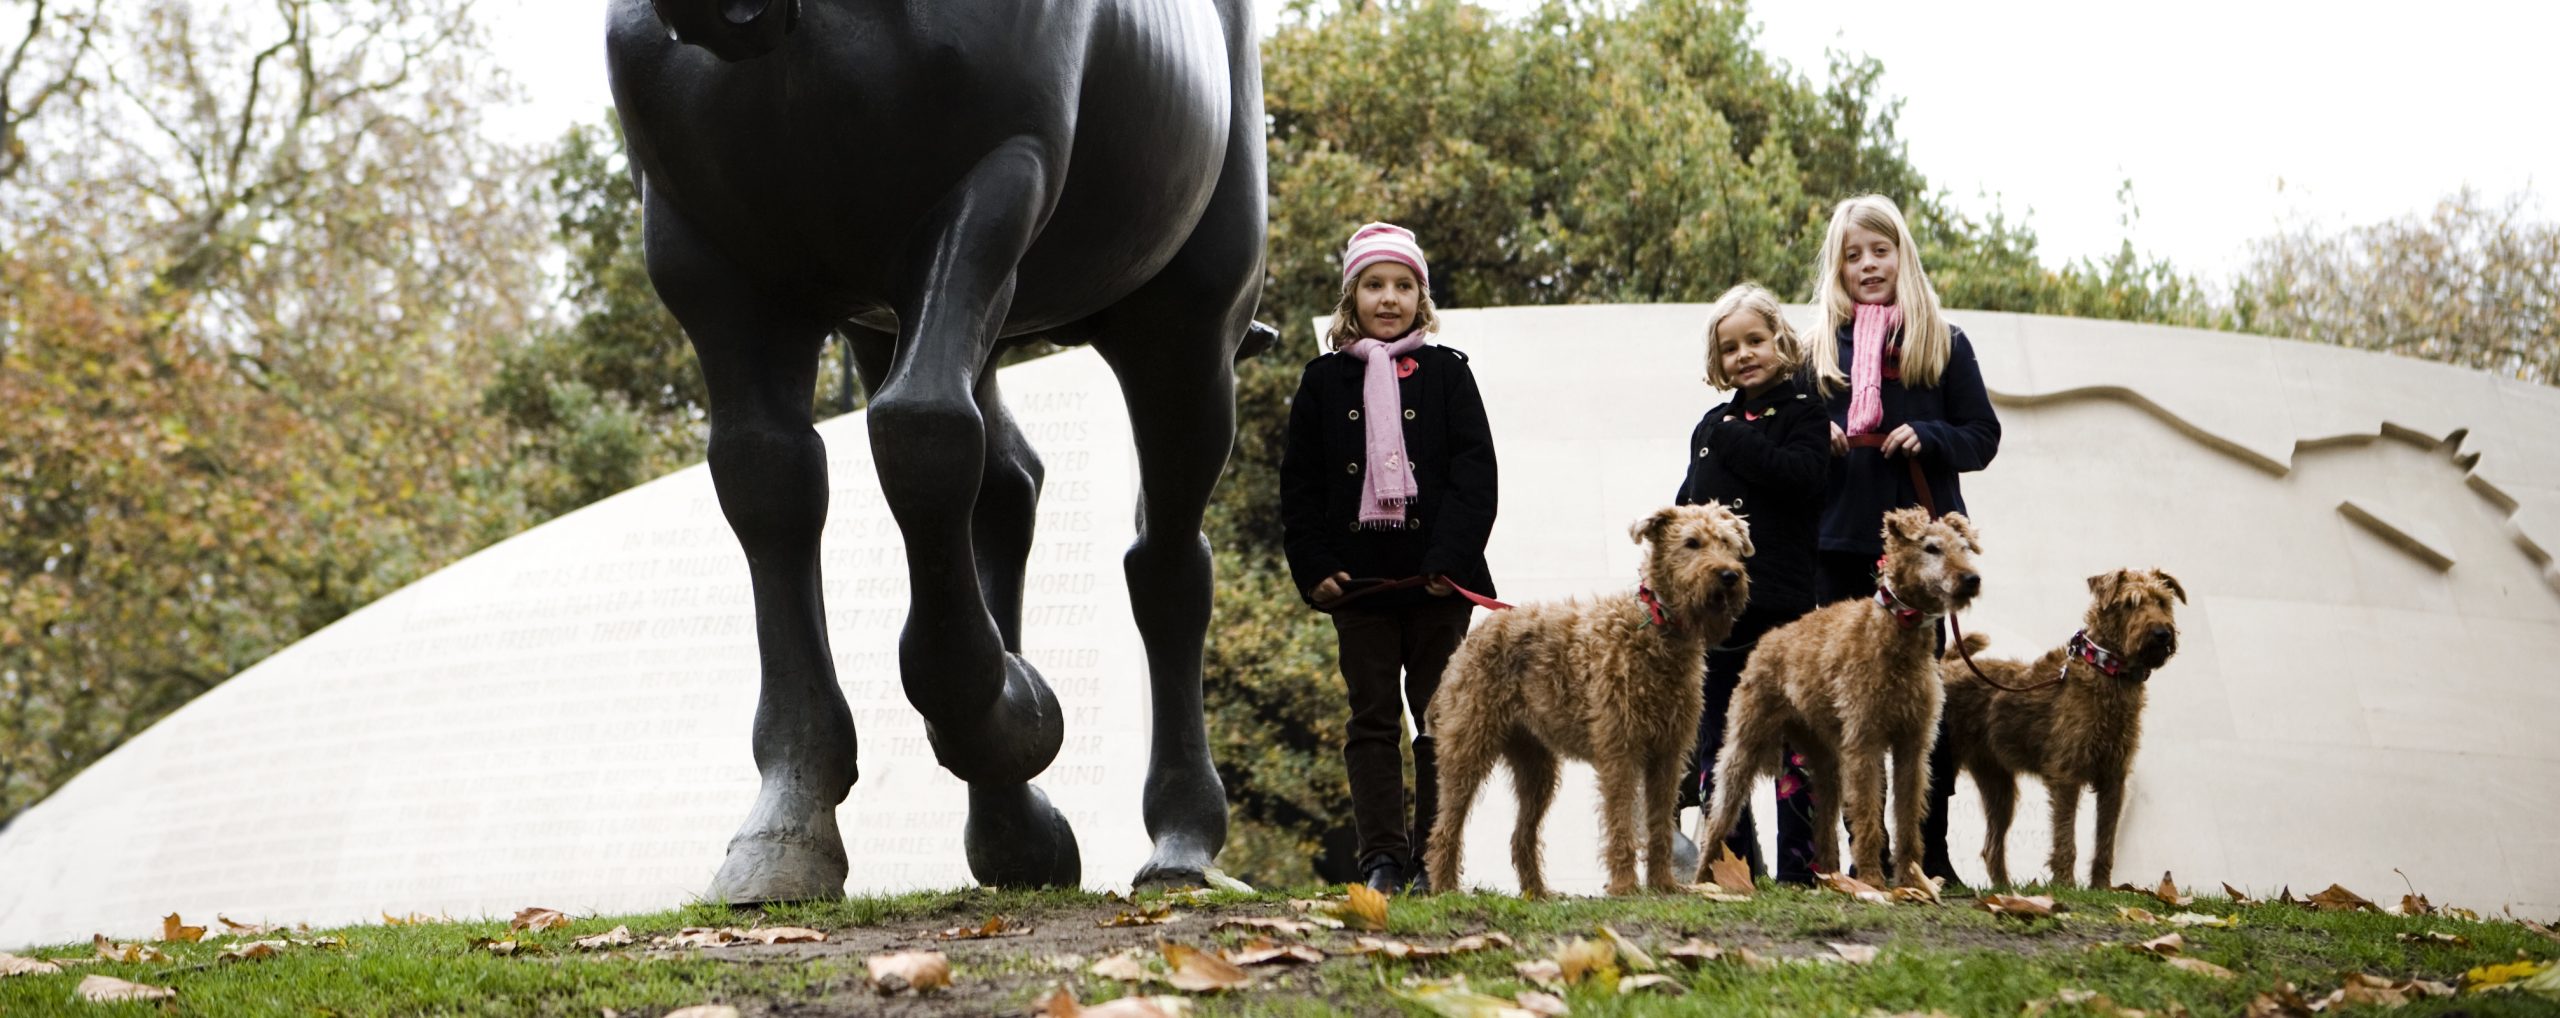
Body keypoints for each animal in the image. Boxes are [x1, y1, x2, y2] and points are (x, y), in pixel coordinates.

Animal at [1424, 503, 1753, 896]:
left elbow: (1659, 825)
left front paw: (1662, 884)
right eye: (1691, 543)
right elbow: (1621, 821)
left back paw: (1538, 893)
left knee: (1521, 835)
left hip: (1536, 766)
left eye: (1728, 543)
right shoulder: (1620, 751)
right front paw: (1625, 886)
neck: (1656, 630)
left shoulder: (1667, 754)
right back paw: (1445, 886)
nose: (1729, 575)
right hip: (1468, 749)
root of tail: (1469, 641)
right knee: (1446, 827)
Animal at [1694, 506, 1981, 889]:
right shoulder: (1864, 743)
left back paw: (1830, 878)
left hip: (1825, 761)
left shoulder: (1913, 746)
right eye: (1931, 548)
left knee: (1824, 824)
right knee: (1720, 813)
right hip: (1744, 743)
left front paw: (1911, 879)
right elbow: (1868, 815)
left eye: (1963, 547)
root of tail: (1766, 639)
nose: (1971, 579)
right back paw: (1703, 878)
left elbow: (1907, 818)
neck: (1895, 634)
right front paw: (1873, 880)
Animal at [1940, 568, 2184, 888]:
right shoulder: (2067, 775)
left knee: (1991, 846)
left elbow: (2105, 841)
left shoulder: (2114, 777)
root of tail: (1944, 667)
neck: (2106, 671)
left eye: (2163, 602)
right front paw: (2066, 884)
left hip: (1999, 785)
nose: (2162, 633)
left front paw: (2101, 888)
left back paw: (2006, 889)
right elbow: (2065, 837)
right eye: (2130, 603)